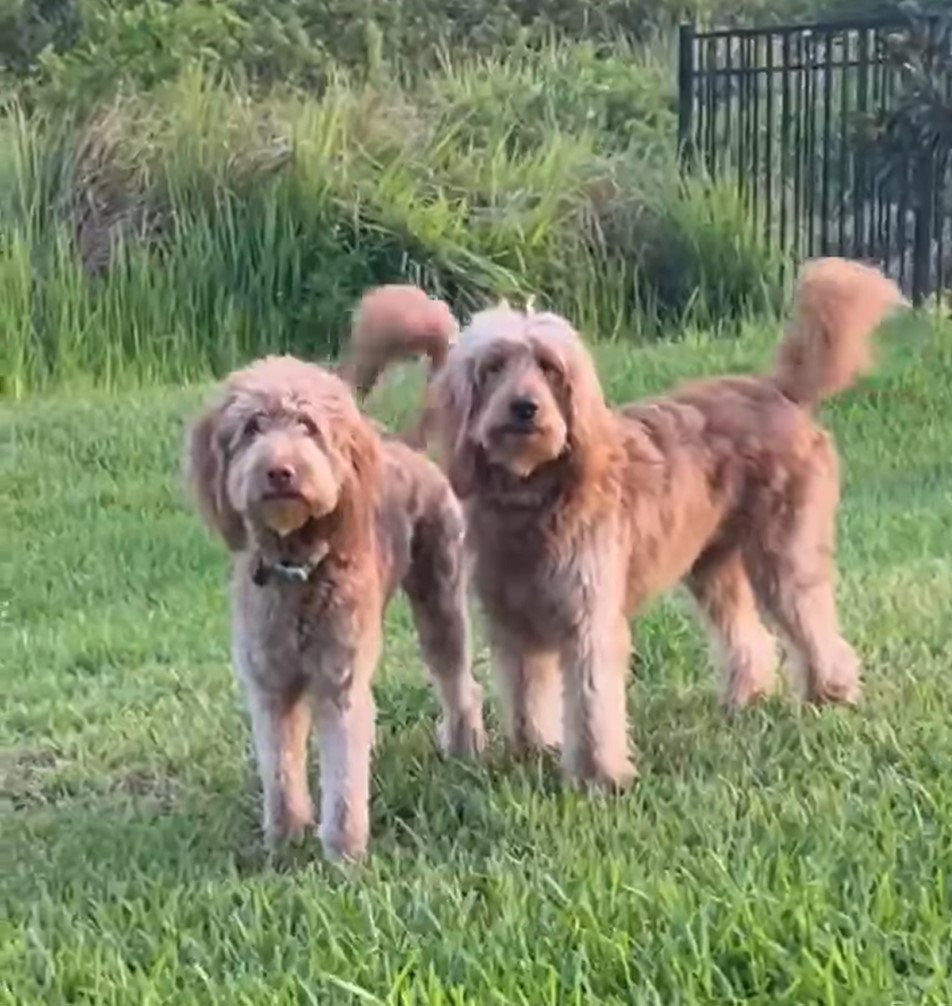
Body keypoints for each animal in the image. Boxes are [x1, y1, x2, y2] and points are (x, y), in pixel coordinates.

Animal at [185, 354, 483, 857]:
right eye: (251, 427)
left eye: (308, 426)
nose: (279, 471)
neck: (297, 569)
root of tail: (405, 448)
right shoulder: (270, 684)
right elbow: (280, 767)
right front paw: (284, 838)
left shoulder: (339, 681)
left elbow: (343, 777)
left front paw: (343, 851)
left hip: (439, 596)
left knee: (457, 679)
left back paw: (465, 745)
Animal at [420, 255, 897, 788]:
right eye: (494, 367)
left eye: (549, 367)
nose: (525, 407)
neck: (535, 496)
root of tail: (777, 390)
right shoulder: (513, 623)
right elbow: (525, 694)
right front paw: (530, 750)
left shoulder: (588, 618)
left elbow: (591, 704)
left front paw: (598, 777)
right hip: (715, 568)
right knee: (747, 636)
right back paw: (749, 696)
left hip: (783, 555)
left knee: (814, 626)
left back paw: (829, 693)